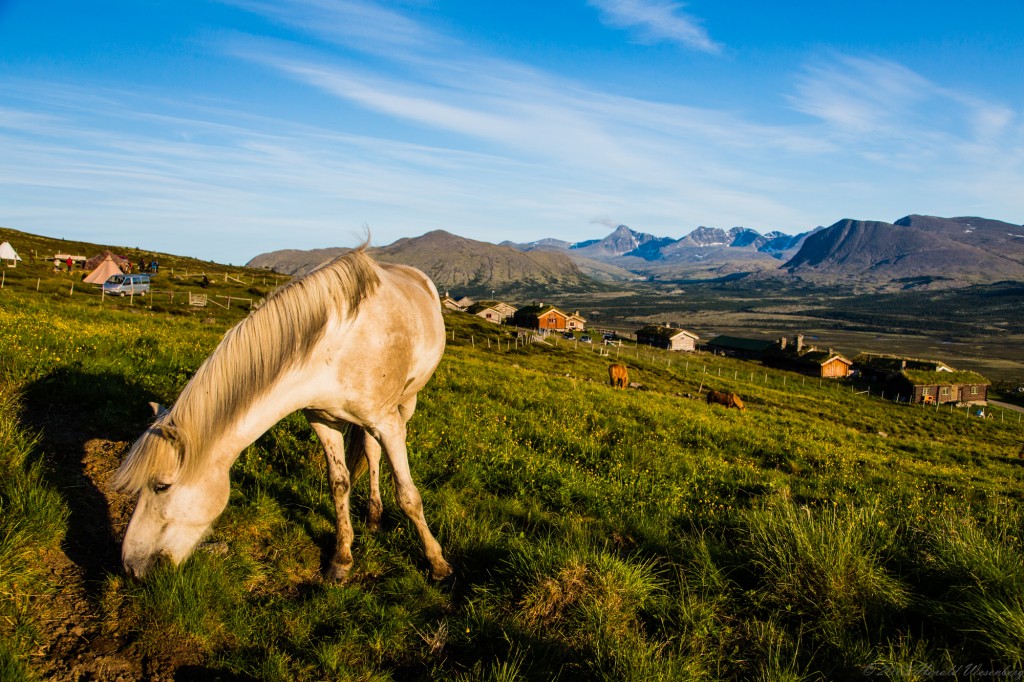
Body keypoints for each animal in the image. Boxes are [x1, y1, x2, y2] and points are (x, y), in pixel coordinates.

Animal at [112, 248, 452, 577]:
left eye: (161, 486)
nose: (131, 567)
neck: (336, 347)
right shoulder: (322, 420)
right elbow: (339, 485)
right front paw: (341, 558)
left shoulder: (388, 424)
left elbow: (408, 496)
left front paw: (437, 563)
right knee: (370, 450)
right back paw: (373, 516)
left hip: (406, 403)